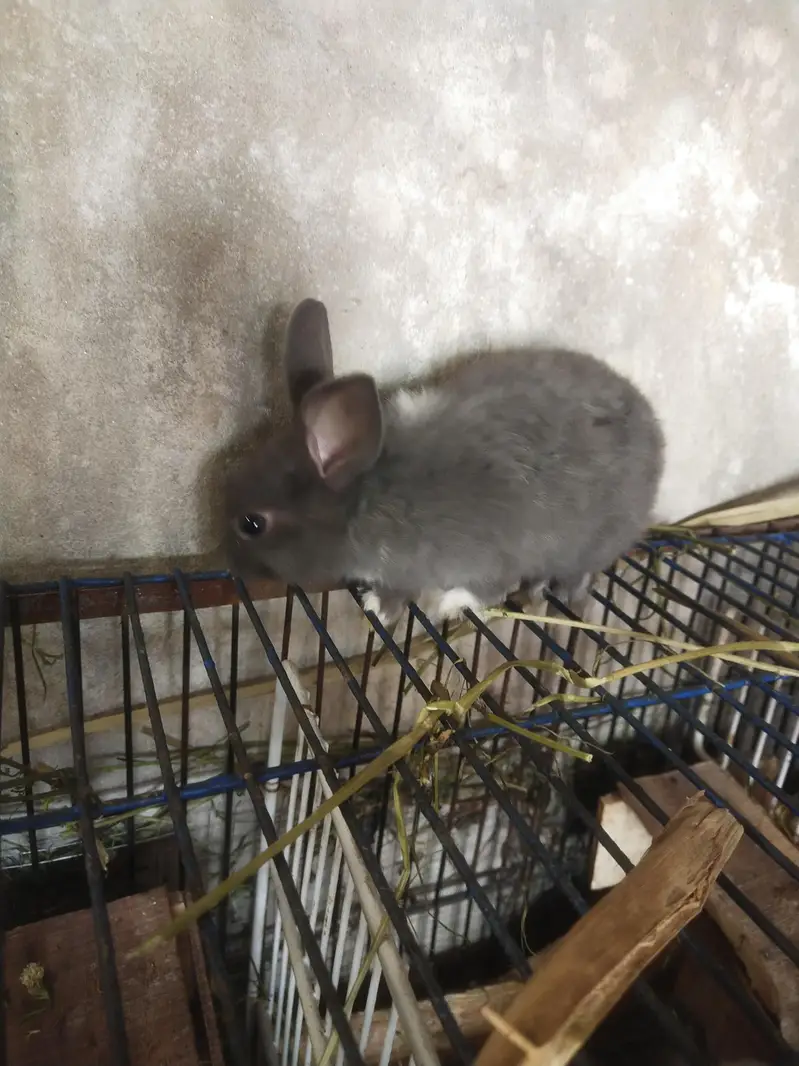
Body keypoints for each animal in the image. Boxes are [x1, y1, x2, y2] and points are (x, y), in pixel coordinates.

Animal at [224, 298, 664, 625]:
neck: (366, 497)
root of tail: (657, 434)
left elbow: (479, 588)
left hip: (591, 542)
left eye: (252, 524)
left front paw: (400, 607)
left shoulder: (480, 555)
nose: (232, 566)